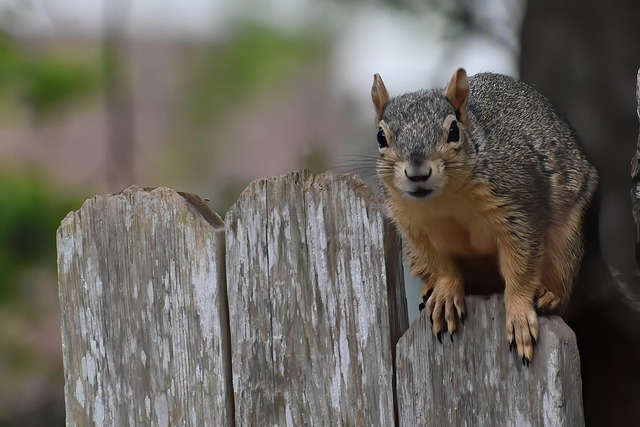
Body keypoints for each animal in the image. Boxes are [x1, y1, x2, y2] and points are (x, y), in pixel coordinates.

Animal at [370, 68, 600, 365]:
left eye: (454, 131)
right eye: (381, 137)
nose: (417, 172)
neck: (443, 200)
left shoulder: (516, 207)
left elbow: (521, 268)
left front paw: (519, 314)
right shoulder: (413, 227)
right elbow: (440, 265)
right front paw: (445, 293)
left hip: (566, 244)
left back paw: (549, 296)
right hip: (413, 255)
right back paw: (430, 290)